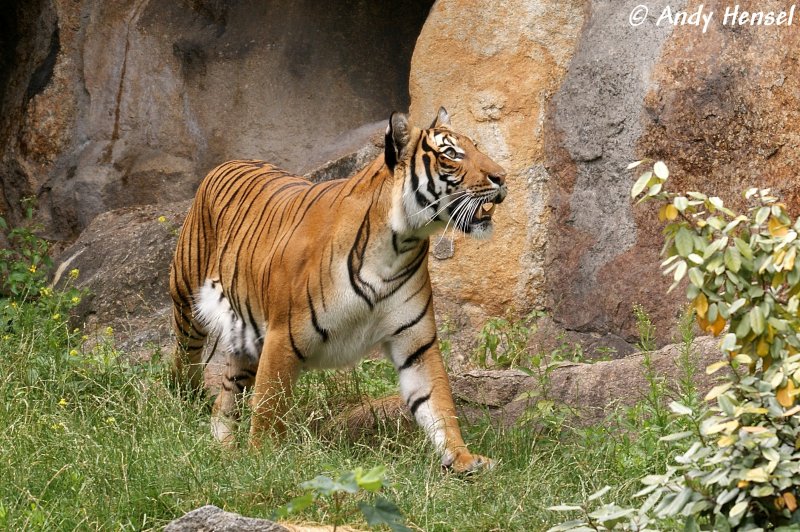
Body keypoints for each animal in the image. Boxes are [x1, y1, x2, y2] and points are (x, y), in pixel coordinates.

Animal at [169, 106, 506, 472]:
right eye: (451, 154)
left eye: (475, 147)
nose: (502, 177)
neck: (398, 242)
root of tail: (229, 161)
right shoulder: (283, 336)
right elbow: (269, 407)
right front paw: (262, 461)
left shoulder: (416, 342)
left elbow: (438, 403)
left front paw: (463, 459)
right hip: (187, 299)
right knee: (185, 356)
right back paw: (185, 401)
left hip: (246, 337)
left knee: (226, 397)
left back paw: (225, 448)